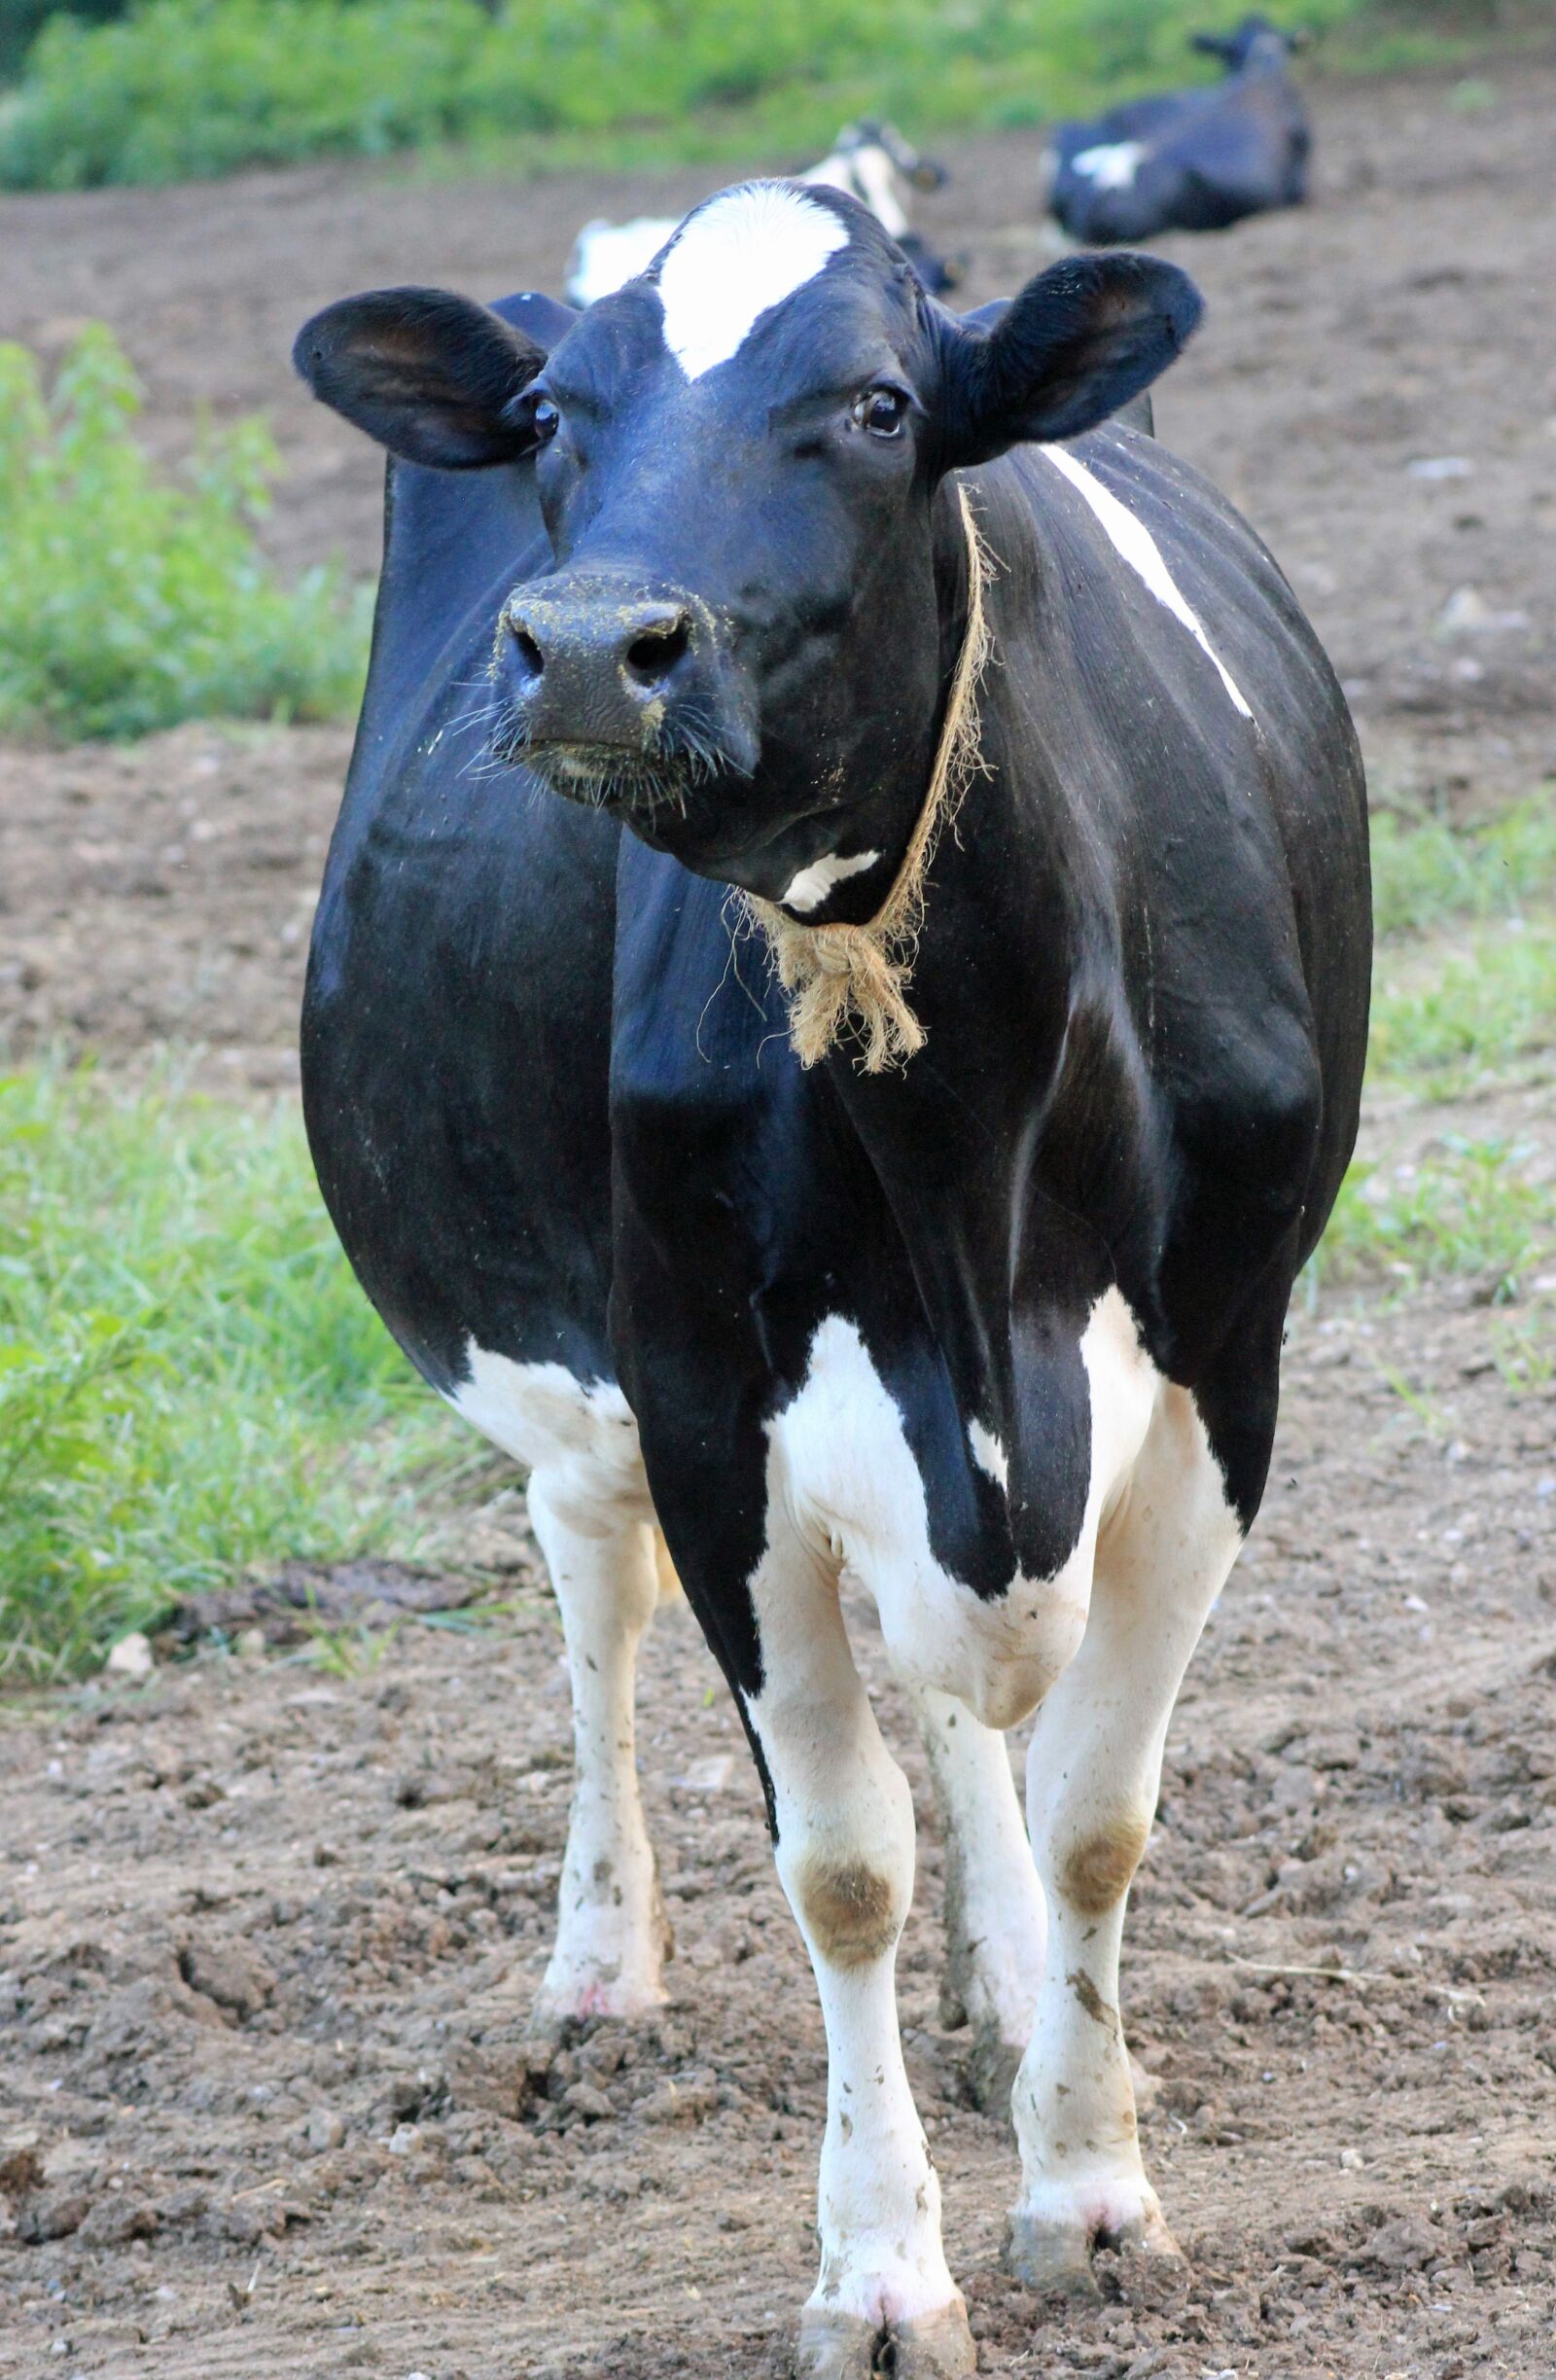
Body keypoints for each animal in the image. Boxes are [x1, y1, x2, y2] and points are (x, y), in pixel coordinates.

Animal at [293, 177, 1369, 2375]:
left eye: (880, 403)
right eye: (554, 407)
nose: (588, 647)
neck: (959, 1160)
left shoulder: (1226, 1368)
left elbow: (1092, 1805)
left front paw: (1089, 2184)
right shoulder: (711, 1407)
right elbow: (839, 1861)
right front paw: (880, 2266)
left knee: (960, 1702)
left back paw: (1003, 1989)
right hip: (582, 1383)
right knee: (593, 1591)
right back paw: (601, 1965)